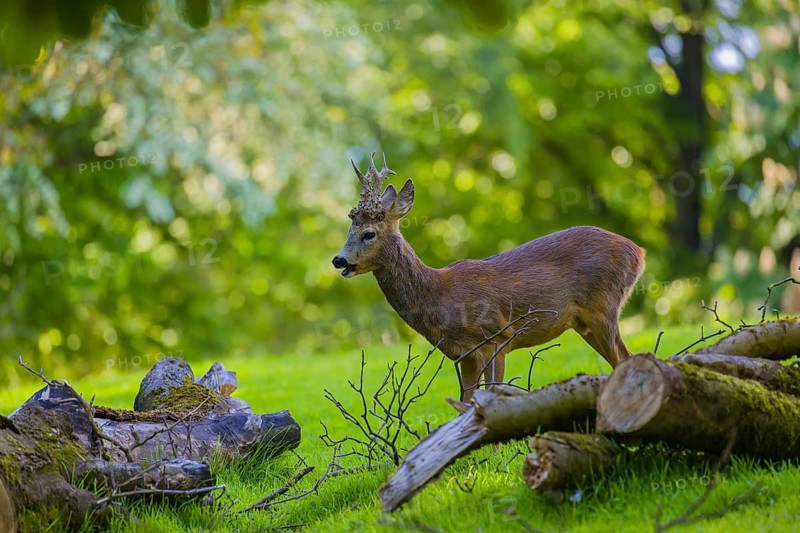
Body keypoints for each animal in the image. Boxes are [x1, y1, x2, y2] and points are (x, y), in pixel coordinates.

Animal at [332, 153, 646, 402]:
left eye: (369, 233)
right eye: (348, 231)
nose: (339, 260)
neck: (439, 295)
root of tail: (638, 252)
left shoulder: (495, 336)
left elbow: (493, 390)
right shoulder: (465, 354)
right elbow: (466, 400)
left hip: (603, 306)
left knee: (626, 358)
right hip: (583, 323)